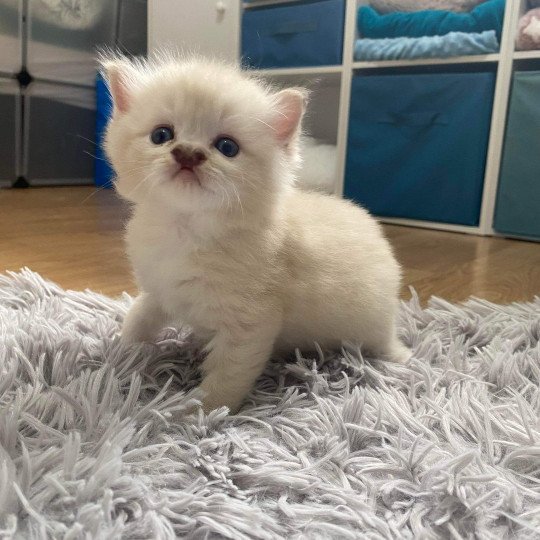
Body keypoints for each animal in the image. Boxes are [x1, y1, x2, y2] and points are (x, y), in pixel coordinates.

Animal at [101, 53, 410, 414]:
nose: (188, 153)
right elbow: (138, 319)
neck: (186, 228)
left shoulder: (248, 326)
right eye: (162, 135)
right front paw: (123, 353)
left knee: (387, 343)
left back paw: (403, 358)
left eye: (227, 147)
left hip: (372, 326)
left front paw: (197, 412)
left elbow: (226, 377)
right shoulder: (160, 290)